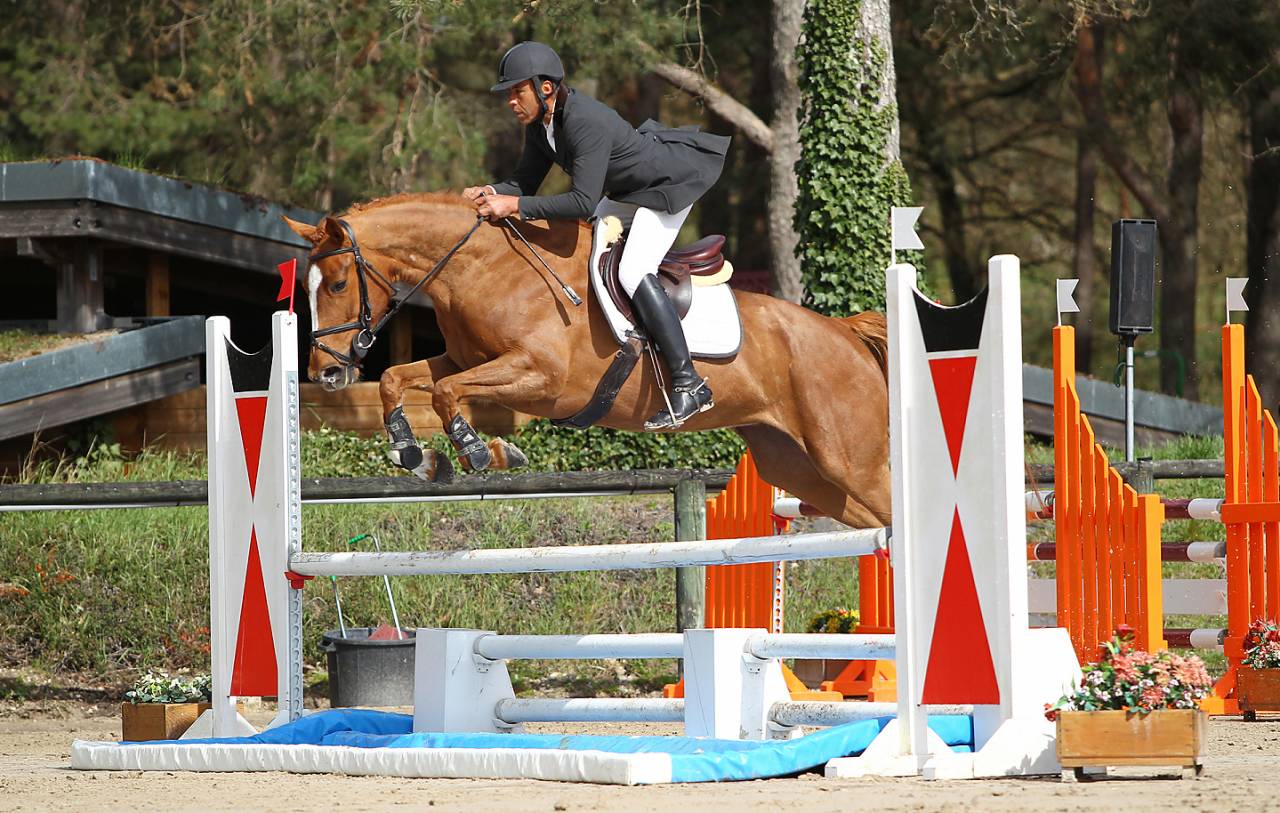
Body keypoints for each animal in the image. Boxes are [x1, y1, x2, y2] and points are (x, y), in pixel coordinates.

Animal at [283, 193, 891, 528]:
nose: (326, 374)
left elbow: (444, 392)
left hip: (850, 459)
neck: (482, 267)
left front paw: (483, 452)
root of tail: (844, 333)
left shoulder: (542, 379)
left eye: (337, 283)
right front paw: (417, 457)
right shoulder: (462, 357)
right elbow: (397, 379)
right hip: (800, 468)